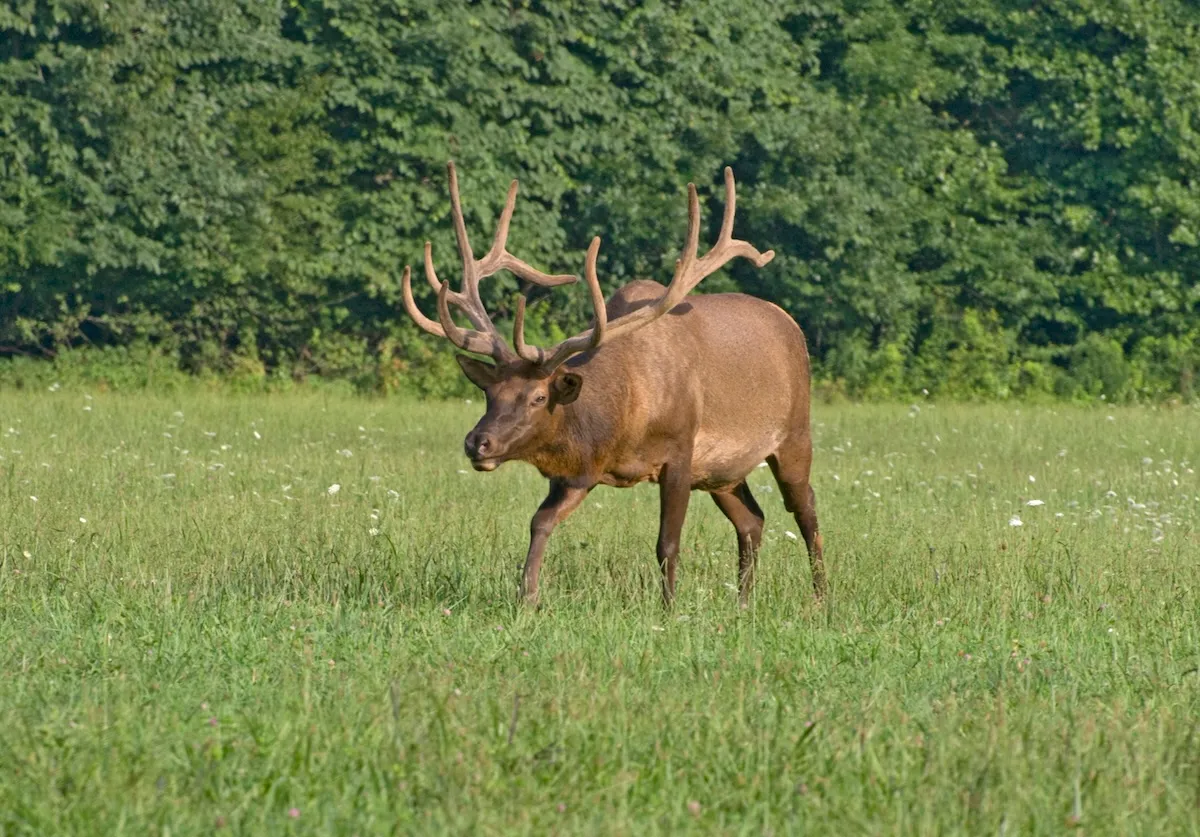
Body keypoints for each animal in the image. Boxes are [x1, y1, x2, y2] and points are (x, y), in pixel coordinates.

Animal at [401, 162, 824, 607]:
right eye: (488, 393)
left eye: (538, 397)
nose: (477, 442)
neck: (622, 421)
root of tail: (791, 324)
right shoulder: (581, 471)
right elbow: (539, 522)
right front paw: (527, 598)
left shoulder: (681, 451)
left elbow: (667, 543)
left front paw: (669, 609)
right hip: (721, 471)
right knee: (753, 520)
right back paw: (743, 603)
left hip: (794, 436)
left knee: (806, 509)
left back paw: (821, 598)